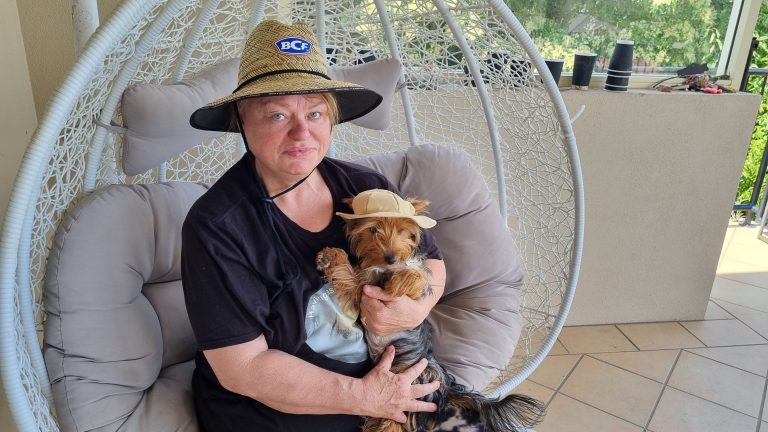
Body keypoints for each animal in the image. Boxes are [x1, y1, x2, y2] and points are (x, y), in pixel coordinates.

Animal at [316, 189, 544, 432]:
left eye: (402, 231)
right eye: (374, 230)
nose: (391, 258)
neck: (385, 271)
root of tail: (445, 383)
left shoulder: (411, 292)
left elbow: (416, 277)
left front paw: (399, 280)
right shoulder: (362, 289)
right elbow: (348, 274)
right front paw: (331, 257)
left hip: (413, 387)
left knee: (397, 420)